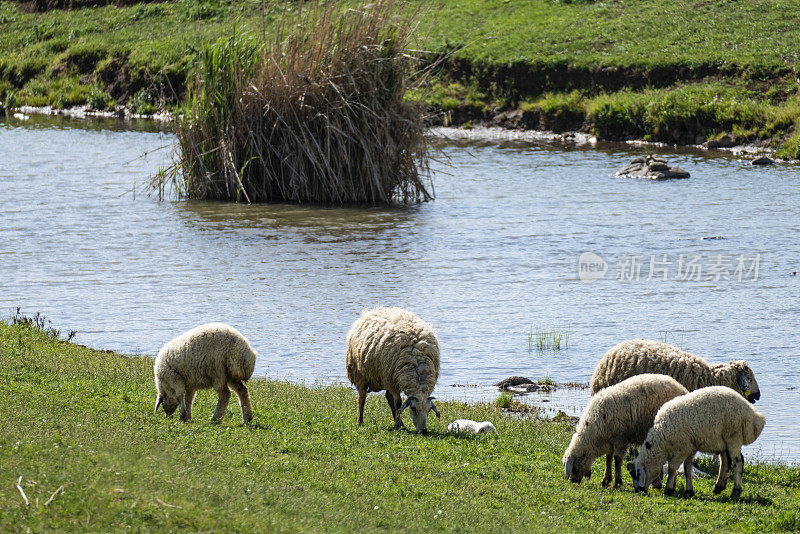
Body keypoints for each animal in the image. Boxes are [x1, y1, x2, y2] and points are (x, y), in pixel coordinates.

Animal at [628, 388, 764, 500]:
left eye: (635, 475)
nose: (637, 491)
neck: (662, 442)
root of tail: (753, 414)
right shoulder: (690, 447)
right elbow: (687, 469)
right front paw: (689, 491)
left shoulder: (681, 449)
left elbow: (672, 469)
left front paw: (668, 490)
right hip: (723, 440)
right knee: (726, 461)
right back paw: (718, 487)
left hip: (733, 436)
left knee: (738, 461)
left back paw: (735, 490)